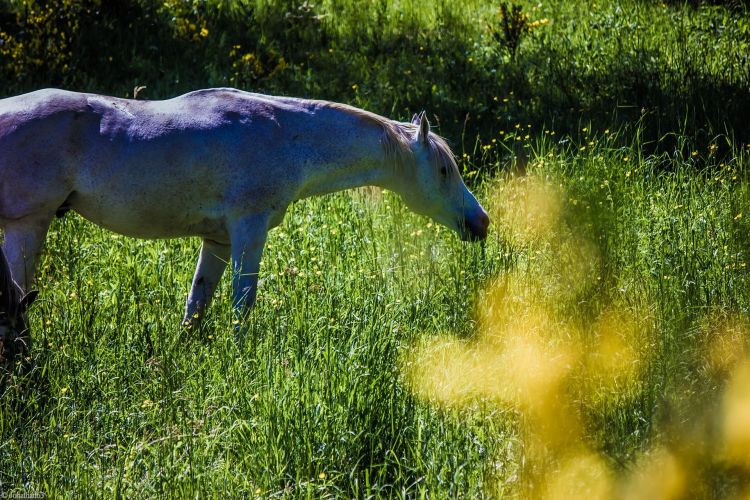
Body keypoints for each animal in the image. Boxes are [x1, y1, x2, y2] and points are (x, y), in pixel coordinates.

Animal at [0, 88, 490, 326]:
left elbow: (196, 308)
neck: (284, 135)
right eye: (444, 170)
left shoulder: (216, 240)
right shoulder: (248, 231)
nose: (481, 222)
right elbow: (243, 305)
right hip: (27, 226)